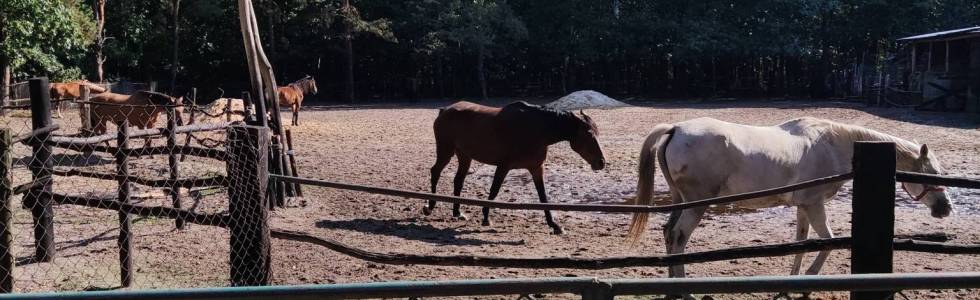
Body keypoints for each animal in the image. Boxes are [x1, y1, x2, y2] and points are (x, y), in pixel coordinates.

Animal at [426, 101, 604, 234]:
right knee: (435, 172)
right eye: (589, 134)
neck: (535, 130)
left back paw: (457, 212)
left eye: (597, 133)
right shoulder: (503, 166)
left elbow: (543, 197)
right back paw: (430, 207)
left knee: (458, 181)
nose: (601, 162)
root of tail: (444, 110)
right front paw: (486, 218)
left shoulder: (536, 168)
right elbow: (494, 191)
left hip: (464, 156)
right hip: (446, 151)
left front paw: (555, 225)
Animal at [624, 117, 952, 296]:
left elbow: (801, 242)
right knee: (678, 237)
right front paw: (806, 282)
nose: (945, 208)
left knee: (669, 235)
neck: (833, 145)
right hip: (695, 205)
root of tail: (676, 128)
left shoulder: (803, 206)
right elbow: (827, 242)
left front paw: (791, 283)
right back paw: (685, 291)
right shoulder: (814, 204)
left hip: (681, 201)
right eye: (932, 173)